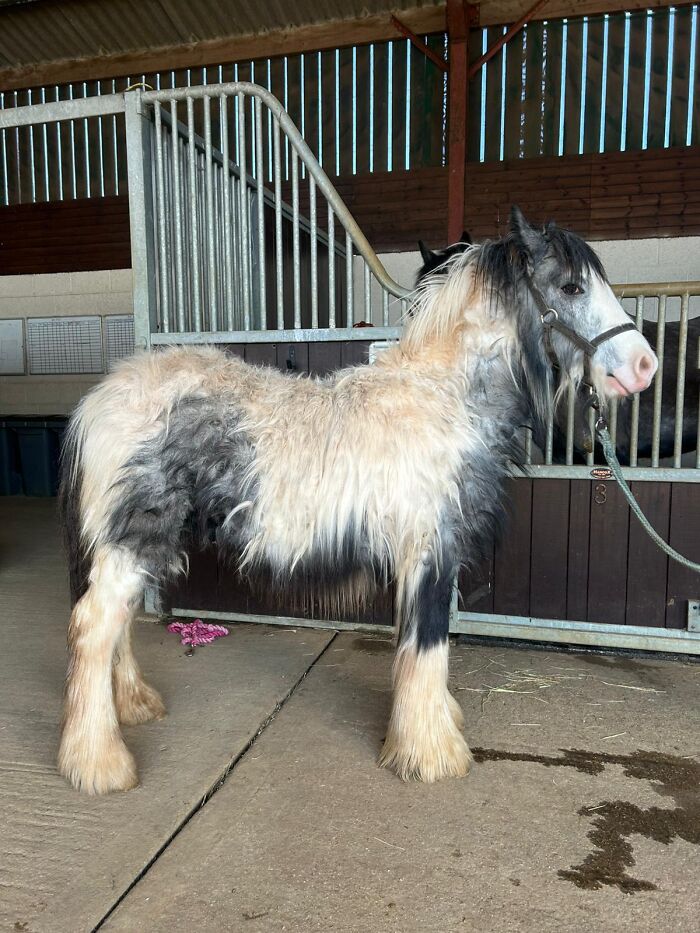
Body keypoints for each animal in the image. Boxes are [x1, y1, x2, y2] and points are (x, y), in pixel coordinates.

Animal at [58, 206, 657, 794]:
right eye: (573, 286)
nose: (644, 367)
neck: (442, 400)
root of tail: (100, 400)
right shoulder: (430, 549)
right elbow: (429, 640)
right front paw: (431, 755)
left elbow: (412, 641)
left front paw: (430, 724)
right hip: (136, 538)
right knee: (94, 624)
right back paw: (99, 763)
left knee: (119, 622)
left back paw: (134, 706)